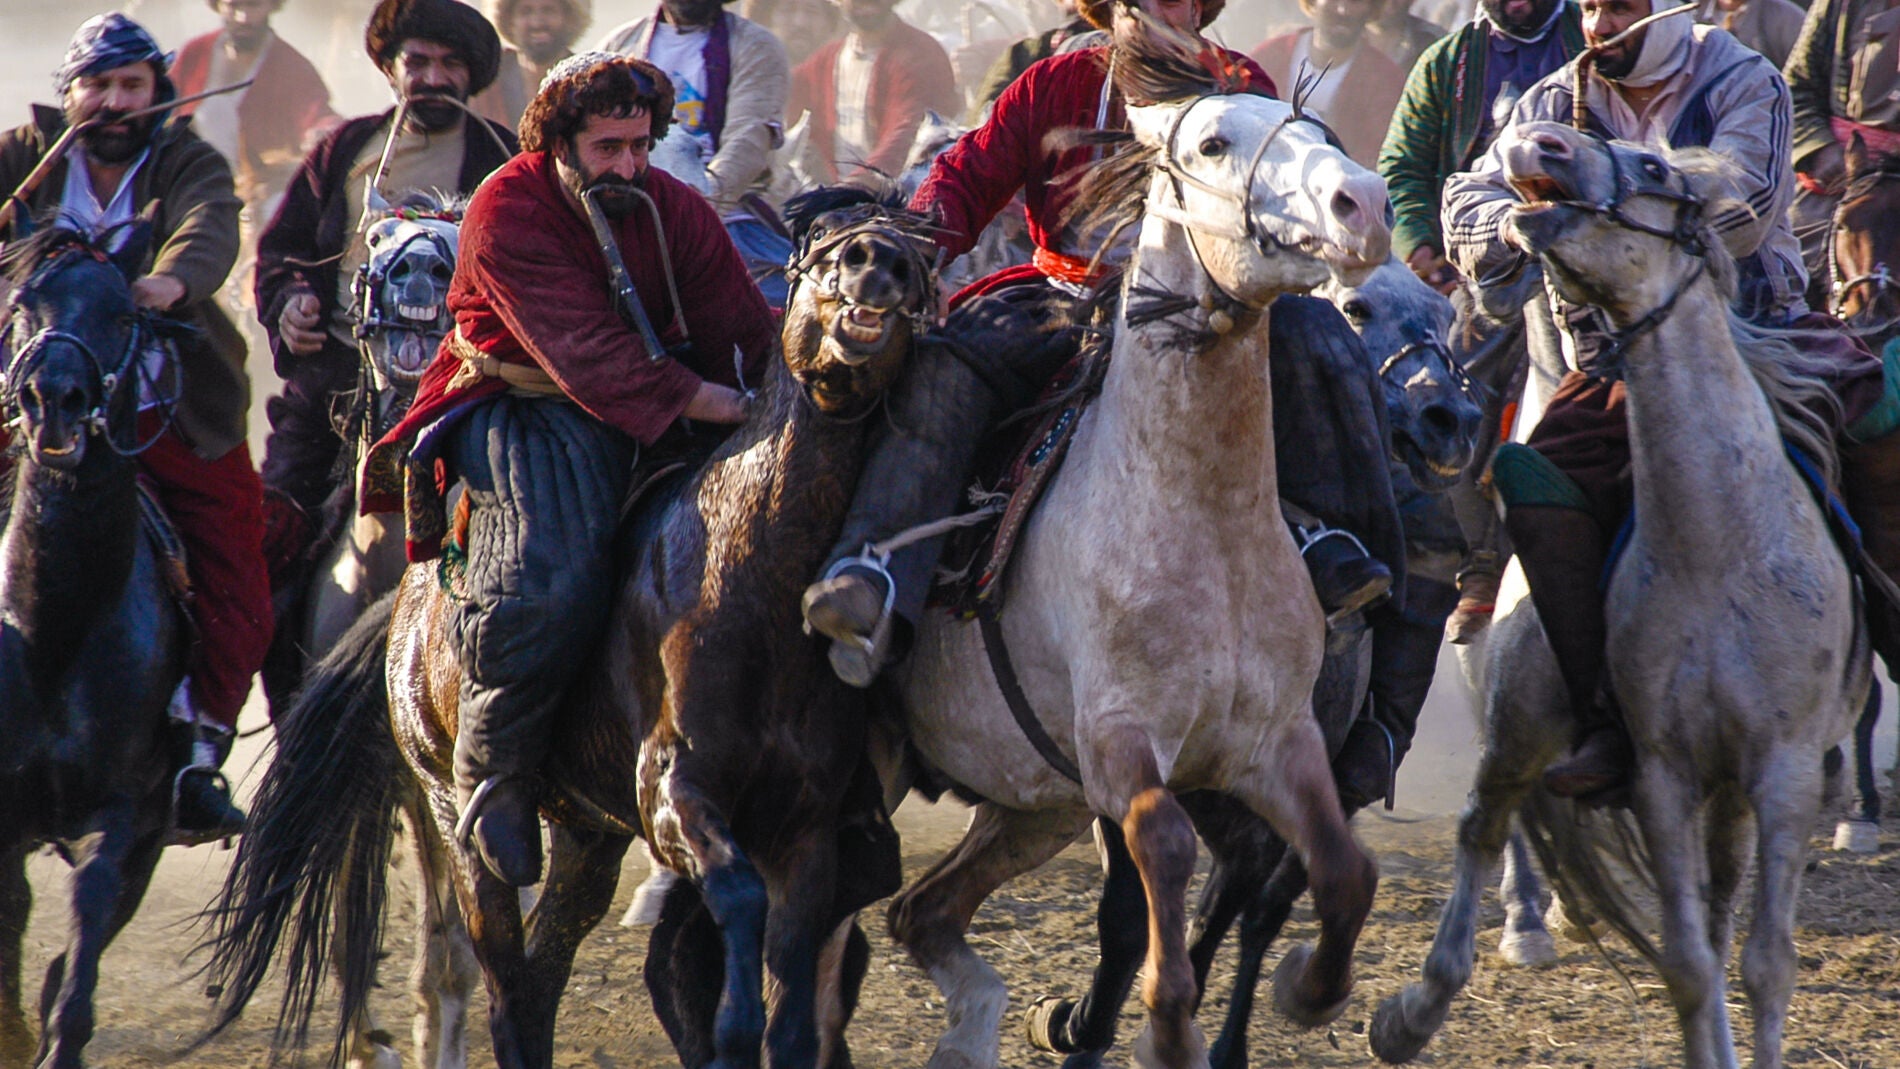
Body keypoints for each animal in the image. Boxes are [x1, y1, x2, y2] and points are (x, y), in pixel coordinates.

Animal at [204, 189, 938, 1069]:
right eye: (820, 240)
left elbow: (792, 1002)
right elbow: (733, 903)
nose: (876, 262)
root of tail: (407, 611)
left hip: (587, 839)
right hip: (456, 813)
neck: (753, 584)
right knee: (500, 970)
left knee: (540, 976)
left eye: (920, 250)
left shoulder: (805, 831)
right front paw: (729, 1028)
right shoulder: (675, 796)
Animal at [877, 37, 1398, 1063]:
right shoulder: (1120, 748)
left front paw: (1310, 989)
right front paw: (1162, 1022)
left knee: (920, 911)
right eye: (1211, 143)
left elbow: (1341, 870)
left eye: (1320, 131)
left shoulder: (1279, 742)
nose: (1361, 201)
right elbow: (1162, 855)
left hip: (1027, 806)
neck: (1202, 523)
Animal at [1368, 123, 1869, 1069]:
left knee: (1718, 909)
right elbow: (1687, 962)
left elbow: (1762, 961)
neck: (1720, 546)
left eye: (1654, 167)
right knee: (1482, 826)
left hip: (1728, 799)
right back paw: (1415, 1008)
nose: (1540, 141)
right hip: (1522, 723)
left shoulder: (1780, 773)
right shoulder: (1661, 775)